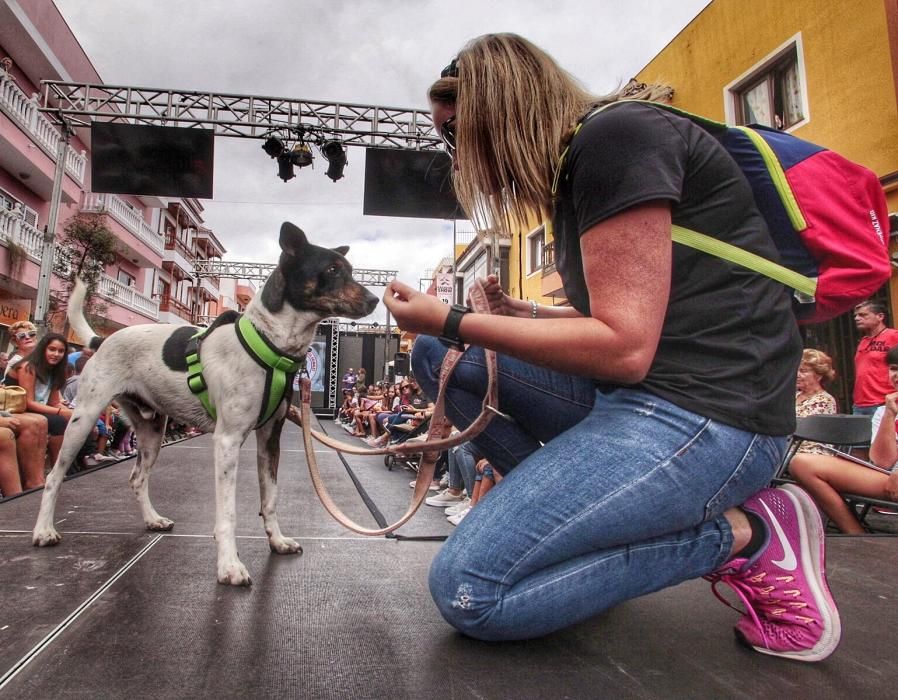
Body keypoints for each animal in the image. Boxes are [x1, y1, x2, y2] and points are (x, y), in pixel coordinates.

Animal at [33, 223, 378, 584]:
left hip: (152, 431)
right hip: (83, 419)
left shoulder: (270, 438)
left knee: (137, 478)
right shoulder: (227, 441)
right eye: (332, 270)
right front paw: (229, 565)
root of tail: (102, 340)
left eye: (349, 269)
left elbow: (270, 498)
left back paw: (152, 519)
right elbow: (228, 512)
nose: (374, 299)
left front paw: (277, 540)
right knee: (54, 476)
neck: (273, 344)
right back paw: (43, 531)